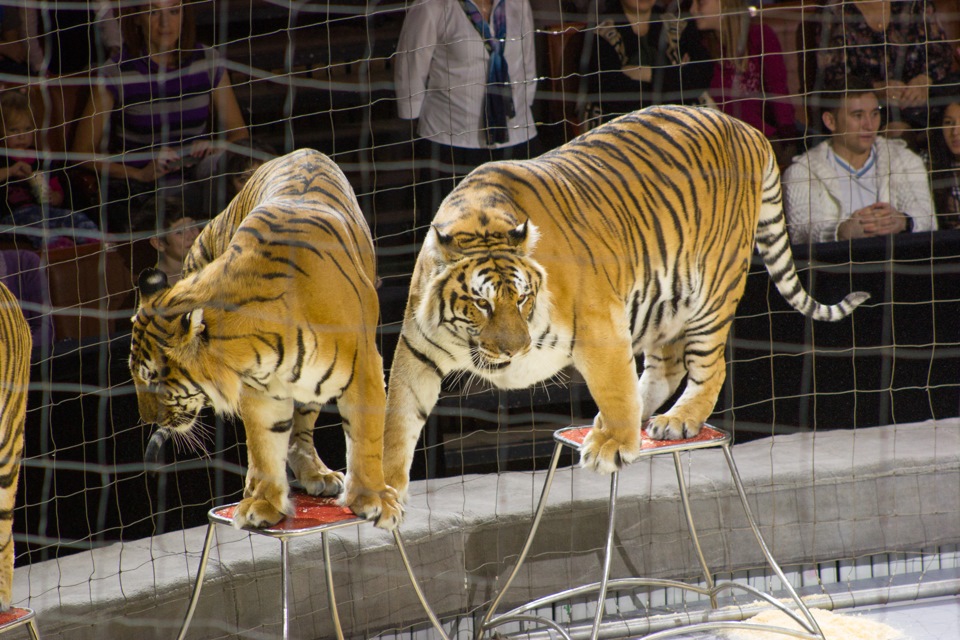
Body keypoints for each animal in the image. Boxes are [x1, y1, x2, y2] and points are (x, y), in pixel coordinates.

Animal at [129, 149, 400, 528]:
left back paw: (317, 475)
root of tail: (305, 152)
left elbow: (366, 437)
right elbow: (265, 443)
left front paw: (372, 499)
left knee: (303, 427)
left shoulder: (365, 371)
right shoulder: (261, 389)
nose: (147, 420)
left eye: (152, 377)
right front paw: (264, 502)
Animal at [382, 106, 872, 504]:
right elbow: (397, 416)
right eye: (480, 304)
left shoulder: (600, 323)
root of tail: (746, 128)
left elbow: (613, 383)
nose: (515, 350)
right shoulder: (416, 350)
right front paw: (382, 488)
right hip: (665, 299)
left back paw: (676, 421)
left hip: (712, 290)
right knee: (666, 369)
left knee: (708, 368)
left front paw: (614, 446)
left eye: (522, 298)